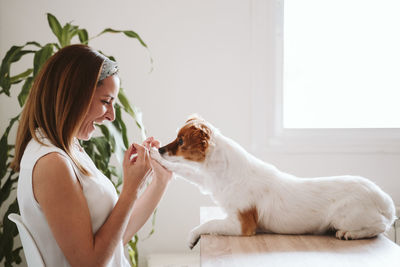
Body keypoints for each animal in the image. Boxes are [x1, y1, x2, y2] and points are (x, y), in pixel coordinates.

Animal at [150, 116, 396, 250]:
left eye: (180, 141)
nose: (161, 149)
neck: (225, 170)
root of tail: (382, 198)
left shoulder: (242, 225)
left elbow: (208, 224)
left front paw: (192, 238)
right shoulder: (207, 180)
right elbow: (185, 170)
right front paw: (155, 157)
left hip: (345, 215)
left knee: (381, 226)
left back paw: (350, 234)